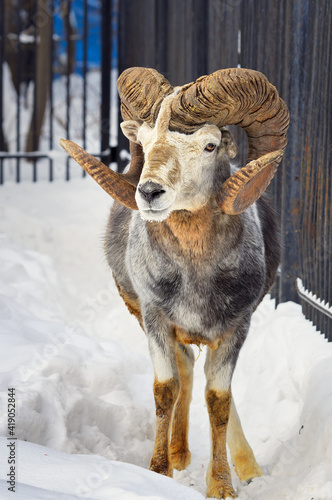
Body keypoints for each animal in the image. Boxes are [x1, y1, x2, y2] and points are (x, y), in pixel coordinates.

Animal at [61, 67, 290, 500]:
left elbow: (219, 400)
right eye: (146, 142)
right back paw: (179, 455)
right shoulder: (155, 320)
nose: (149, 193)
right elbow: (166, 389)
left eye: (210, 145)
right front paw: (158, 471)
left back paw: (244, 466)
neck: (195, 273)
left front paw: (223, 485)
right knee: (184, 369)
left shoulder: (236, 329)